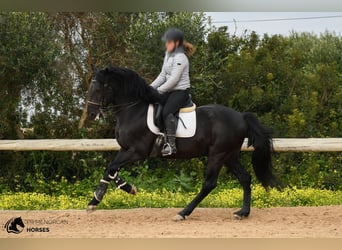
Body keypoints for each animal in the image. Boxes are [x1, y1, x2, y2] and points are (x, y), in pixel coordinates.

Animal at [85, 66, 280, 221]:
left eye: (98, 88)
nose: (91, 114)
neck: (133, 110)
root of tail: (241, 117)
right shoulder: (125, 149)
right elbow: (111, 169)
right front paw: (106, 196)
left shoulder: (137, 151)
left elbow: (111, 167)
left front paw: (102, 196)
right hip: (230, 155)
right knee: (245, 178)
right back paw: (242, 213)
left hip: (218, 155)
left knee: (209, 184)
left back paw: (183, 213)